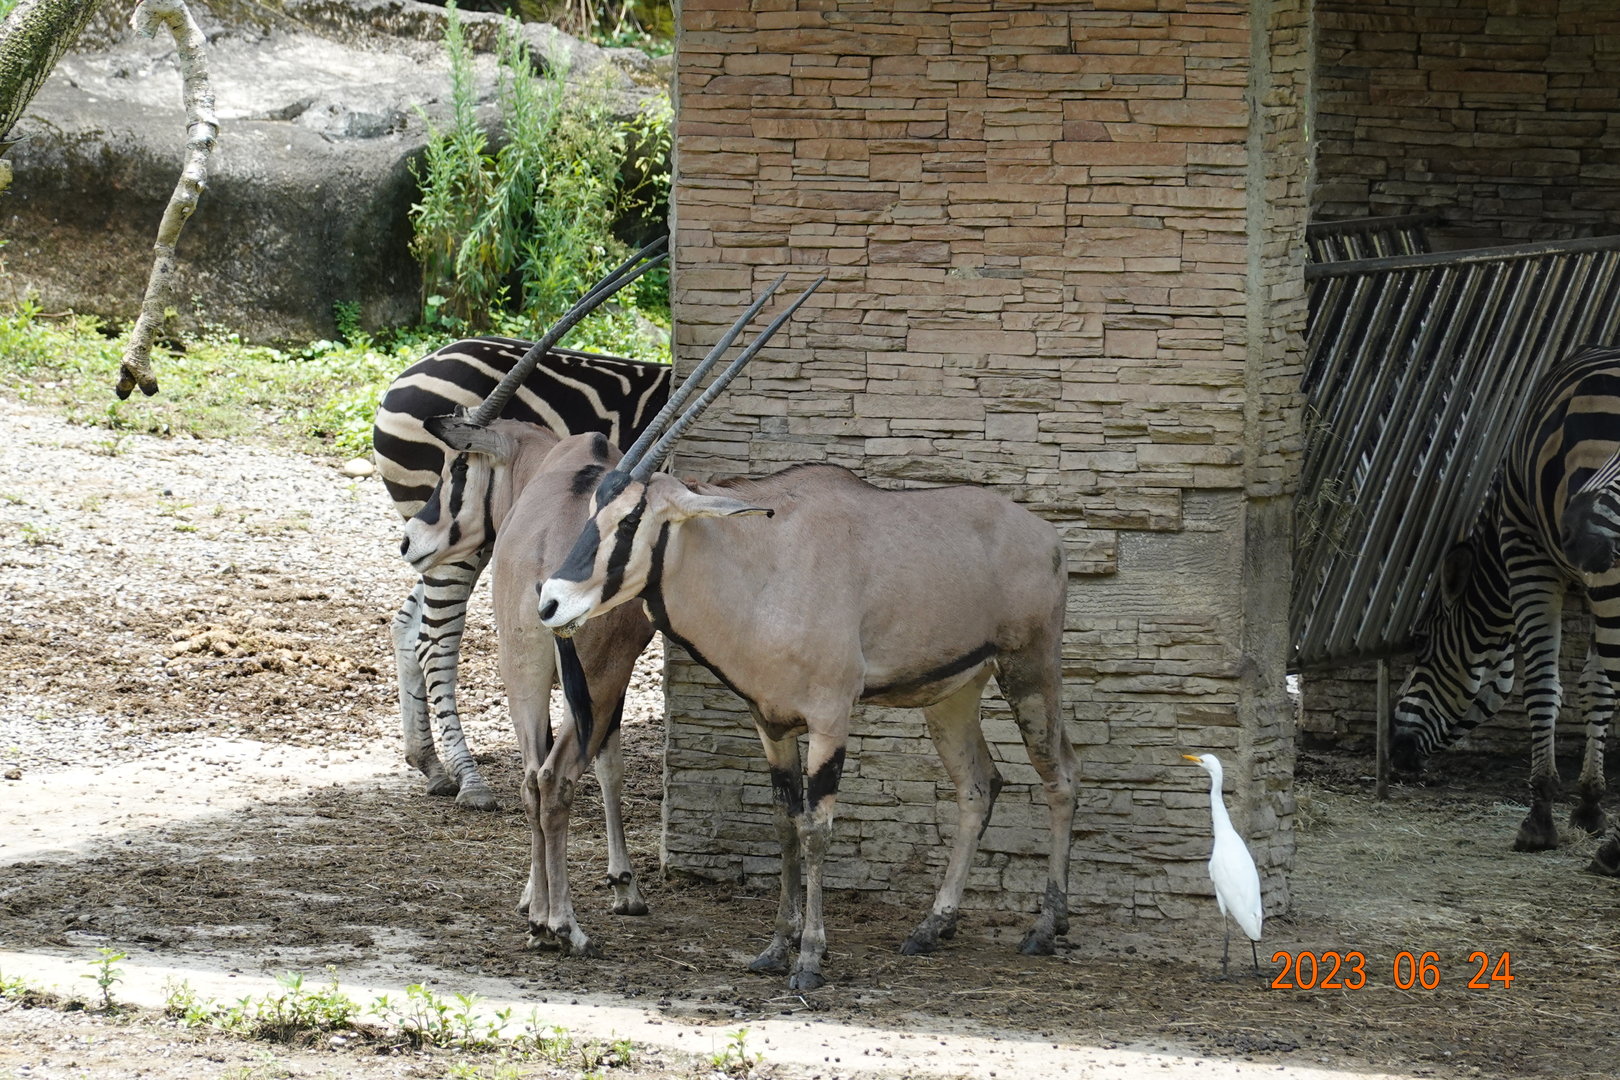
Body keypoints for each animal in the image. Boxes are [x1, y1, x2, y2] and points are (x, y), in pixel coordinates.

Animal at [373, 337, 670, 809]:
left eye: (460, 466)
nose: (409, 541)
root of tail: (407, 376)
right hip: (463, 555)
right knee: (437, 640)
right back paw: (470, 780)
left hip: (469, 552)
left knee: (407, 625)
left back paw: (433, 766)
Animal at [1391, 344, 1620, 857]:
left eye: (1420, 644)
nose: (1394, 750)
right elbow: (1596, 686)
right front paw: (1590, 806)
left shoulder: (1528, 555)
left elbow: (1544, 687)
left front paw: (1540, 817)